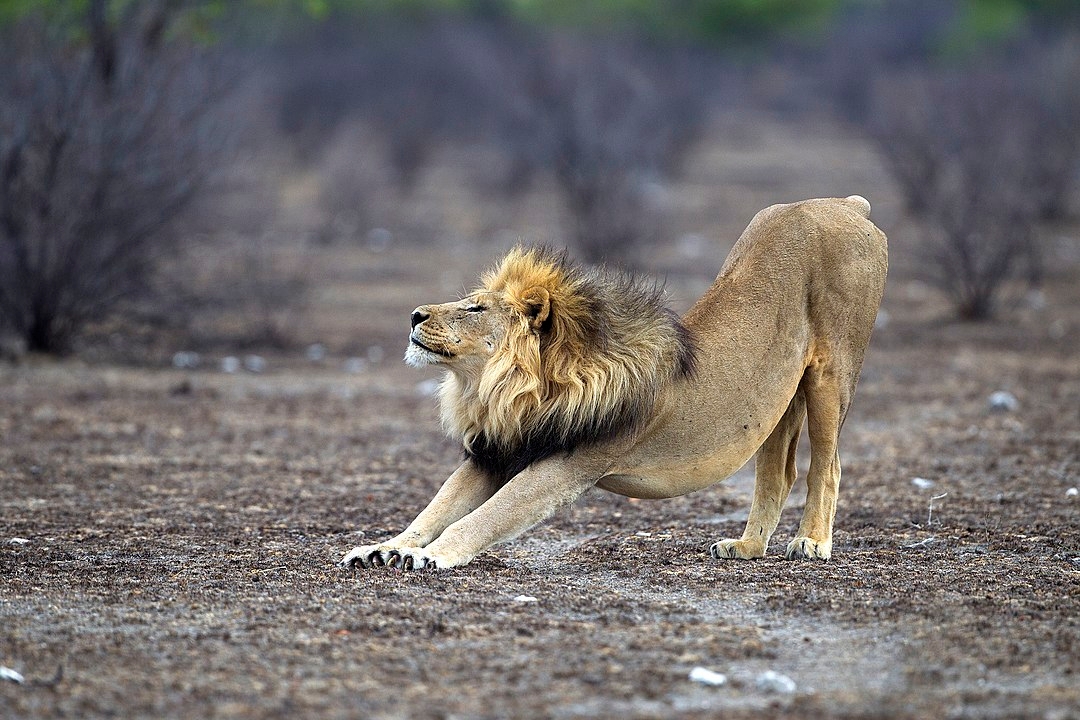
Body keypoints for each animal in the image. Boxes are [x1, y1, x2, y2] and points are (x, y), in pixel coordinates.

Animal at [343, 195, 885, 569]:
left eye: (475, 308)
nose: (414, 315)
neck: (501, 390)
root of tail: (845, 203)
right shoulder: (496, 451)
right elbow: (435, 508)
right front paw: (384, 547)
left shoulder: (567, 465)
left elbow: (487, 516)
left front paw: (431, 555)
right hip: (778, 399)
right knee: (778, 472)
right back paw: (747, 546)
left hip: (831, 374)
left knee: (828, 466)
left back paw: (812, 542)